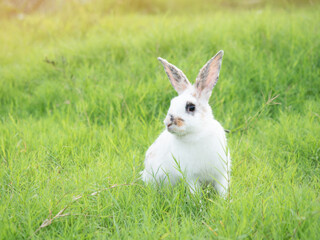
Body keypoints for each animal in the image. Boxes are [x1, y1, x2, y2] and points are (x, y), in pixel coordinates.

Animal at [141, 50, 231, 197]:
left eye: (191, 107)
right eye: (172, 103)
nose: (168, 123)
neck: (197, 133)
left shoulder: (221, 174)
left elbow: (223, 191)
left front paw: (225, 202)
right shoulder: (191, 177)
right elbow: (195, 193)